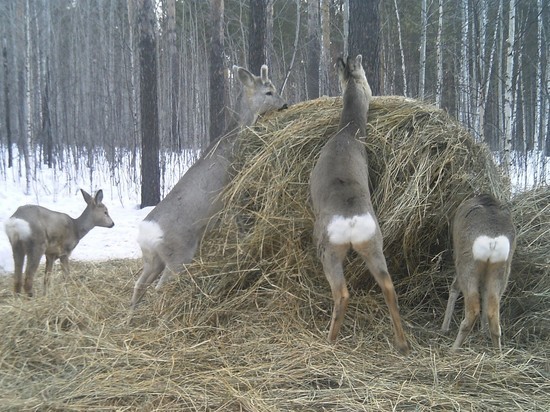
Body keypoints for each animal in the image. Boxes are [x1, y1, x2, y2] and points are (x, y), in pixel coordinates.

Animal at [130, 63, 288, 312]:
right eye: (268, 92)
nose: (285, 104)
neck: (233, 135)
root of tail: (148, 233)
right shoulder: (233, 177)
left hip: (152, 258)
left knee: (139, 285)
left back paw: (132, 314)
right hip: (178, 255)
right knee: (160, 287)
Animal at [310, 54, 410, 356]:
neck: (348, 134)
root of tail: (352, 221)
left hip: (329, 251)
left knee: (342, 293)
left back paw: (329, 340)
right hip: (374, 245)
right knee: (389, 287)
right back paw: (402, 343)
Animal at [444, 193, 516, 350]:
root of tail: (492, 241)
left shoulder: (457, 256)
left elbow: (454, 287)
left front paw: (444, 327)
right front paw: (483, 330)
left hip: (467, 263)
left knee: (472, 309)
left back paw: (453, 349)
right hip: (502, 269)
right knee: (493, 312)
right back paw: (497, 351)